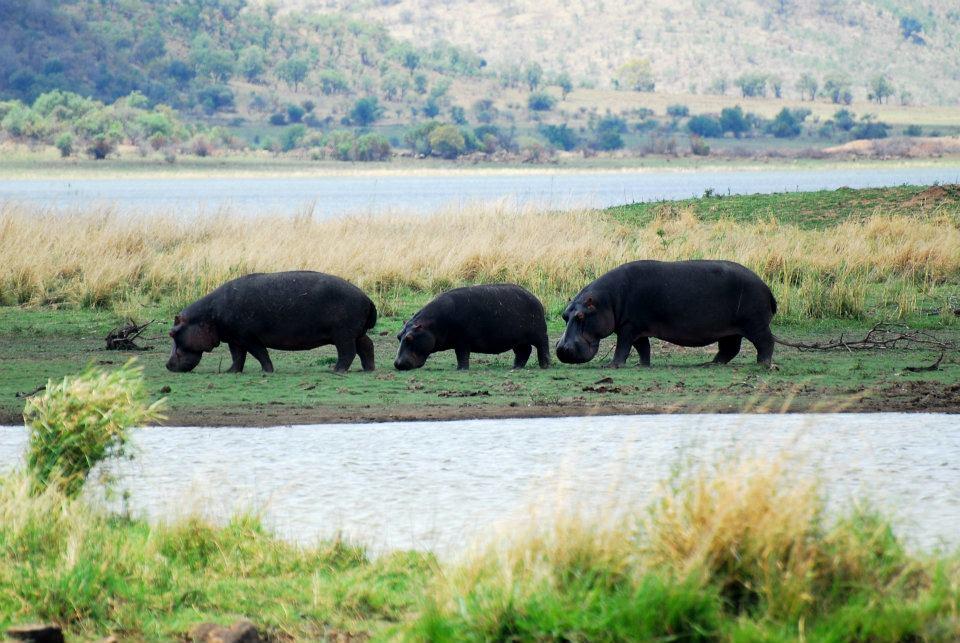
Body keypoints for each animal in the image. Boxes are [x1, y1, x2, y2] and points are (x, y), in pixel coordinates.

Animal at [167, 270, 376, 372]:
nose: (167, 365)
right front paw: (230, 371)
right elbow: (237, 357)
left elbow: (260, 353)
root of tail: (367, 298)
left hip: (343, 335)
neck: (206, 316)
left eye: (172, 333)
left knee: (347, 352)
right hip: (355, 333)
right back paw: (368, 369)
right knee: (366, 346)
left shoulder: (248, 337)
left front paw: (268, 371)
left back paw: (336, 370)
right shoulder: (235, 339)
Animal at [394, 286, 552, 372]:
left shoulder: (462, 341)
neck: (431, 326)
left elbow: (462, 355)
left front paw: (461, 369)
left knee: (543, 347)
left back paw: (545, 366)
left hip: (539, 334)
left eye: (409, 338)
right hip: (517, 340)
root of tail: (535, 298)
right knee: (524, 351)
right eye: (398, 336)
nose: (397, 364)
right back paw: (516, 367)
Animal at [560, 258, 776, 368]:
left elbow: (623, 347)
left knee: (765, 342)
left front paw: (612, 366)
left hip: (754, 324)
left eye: (581, 316)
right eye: (564, 315)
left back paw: (762, 364)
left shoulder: (628, 326)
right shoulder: (636, 327)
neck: (606, 300)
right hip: (730, 329)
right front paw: (642, 365)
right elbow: (643, 347)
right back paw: (710, 363)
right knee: (730, 348)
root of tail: (767, 288)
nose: (562, 349)